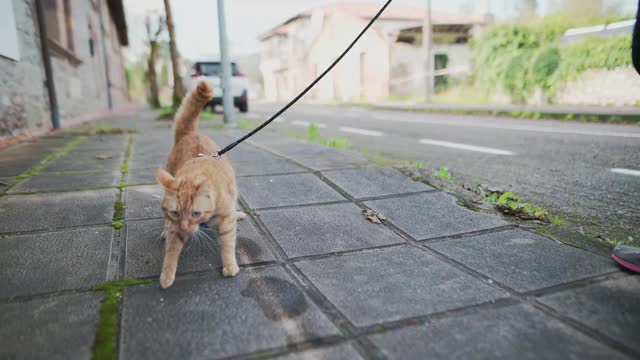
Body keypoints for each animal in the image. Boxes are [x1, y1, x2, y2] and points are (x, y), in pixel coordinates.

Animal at [155, 80, 245, 288]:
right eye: (175, 212)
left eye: (195, 213)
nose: (185, 228)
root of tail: (190, 133)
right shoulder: (175, 228)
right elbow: (171, 252)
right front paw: (167, 275)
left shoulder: (226, 221)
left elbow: (228, 245)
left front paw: (230, 265)